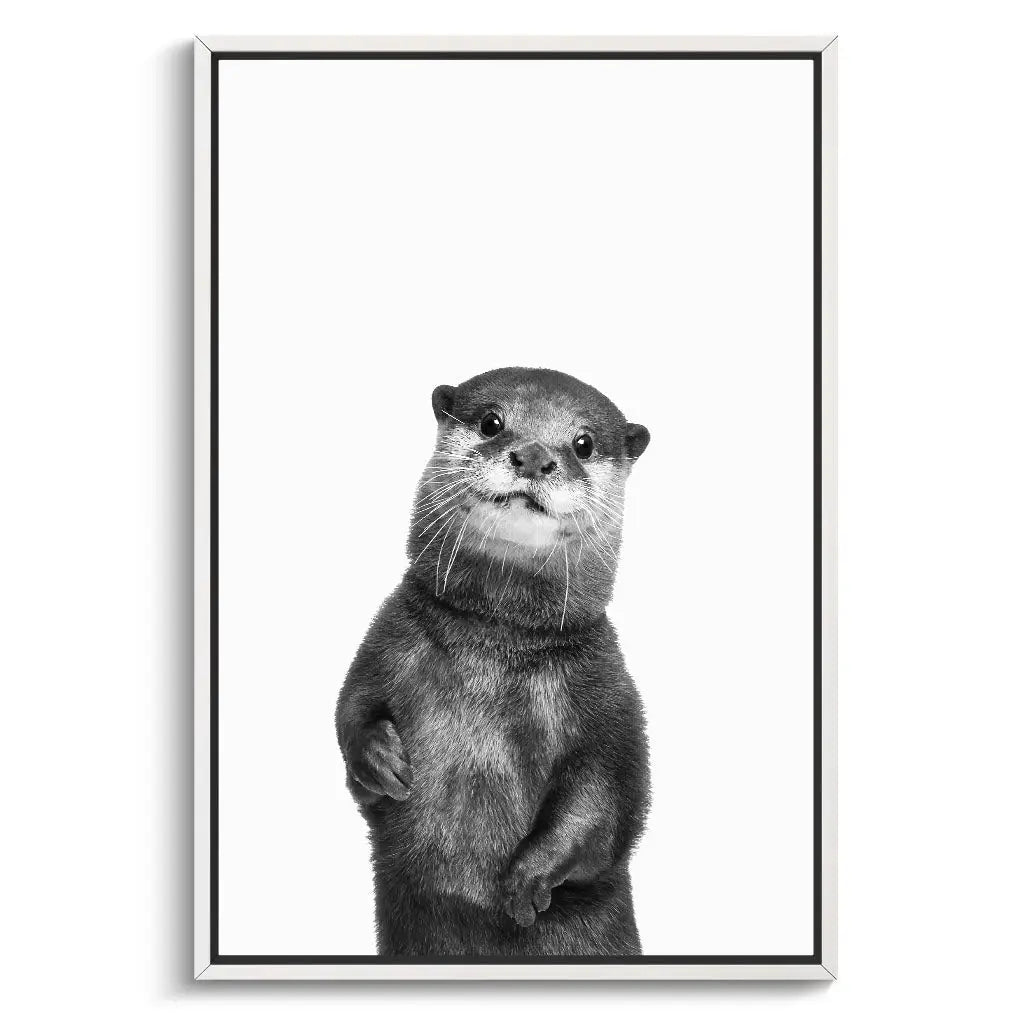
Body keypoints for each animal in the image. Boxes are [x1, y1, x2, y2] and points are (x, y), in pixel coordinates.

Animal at [335, 366, 651, 956]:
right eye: (492, 422)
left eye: (583, 443)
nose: (533, 456)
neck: (495, 645)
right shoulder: (386, 640)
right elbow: (351, 709)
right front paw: (379, 760)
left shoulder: (609, 694)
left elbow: (607, 797)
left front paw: (528, 879)